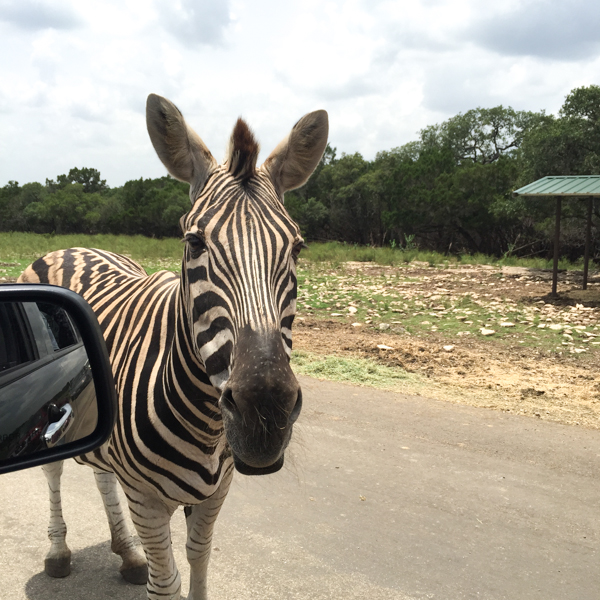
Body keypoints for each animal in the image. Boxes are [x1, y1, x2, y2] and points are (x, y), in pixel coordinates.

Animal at [18, 91, 328, 596]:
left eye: (297, 248)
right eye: (194, 242)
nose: (265, 413)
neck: (205, 423)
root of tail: (71, 248)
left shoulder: (215, 493)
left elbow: (199, 561)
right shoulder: (146, 499)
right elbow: (166, 583)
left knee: (101, 473)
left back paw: (126, 552)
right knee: (54, 470)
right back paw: (59, 552)